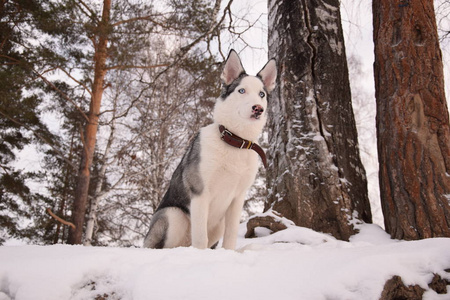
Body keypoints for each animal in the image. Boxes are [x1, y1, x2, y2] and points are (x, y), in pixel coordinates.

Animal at [144, 50, 278, 250]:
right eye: (241, 90)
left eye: (261, 94)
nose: (258, 109)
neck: (234, 141)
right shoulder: (200, 193)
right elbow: (200, 237)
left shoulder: (237, 199)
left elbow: (231, 235)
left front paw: (230, 252)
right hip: (173, 215)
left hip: (217, 224)